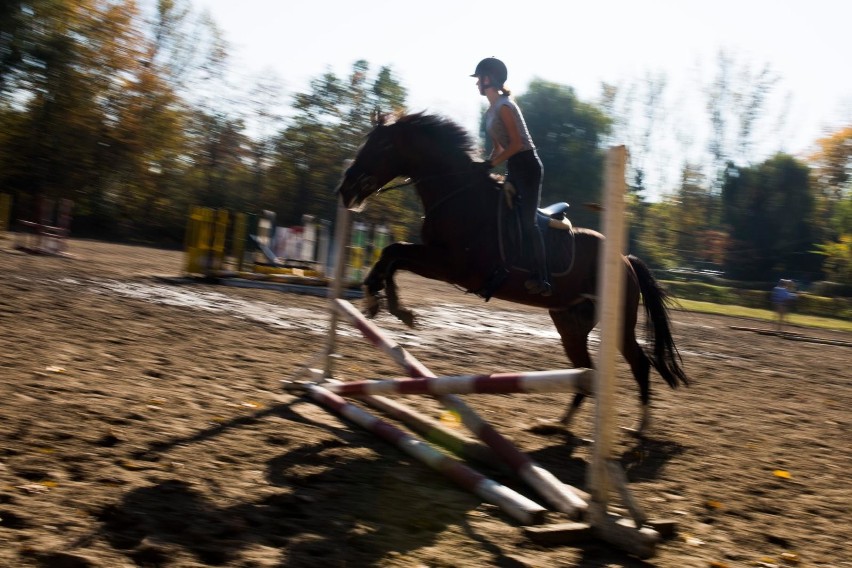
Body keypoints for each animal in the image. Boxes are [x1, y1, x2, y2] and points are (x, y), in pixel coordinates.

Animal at [336, 112, 688, 434]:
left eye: (382, 145)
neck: (459, 194)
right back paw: (558, 423)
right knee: (584, 369)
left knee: (637, 362)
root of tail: (624, 258)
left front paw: (387, 302)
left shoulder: (452, 266)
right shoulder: (437, 258)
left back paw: (640, 427)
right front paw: (382, 300)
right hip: (570, 322)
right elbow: (392, 254)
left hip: (617, 322)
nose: (345, 190)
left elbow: (395, 251)